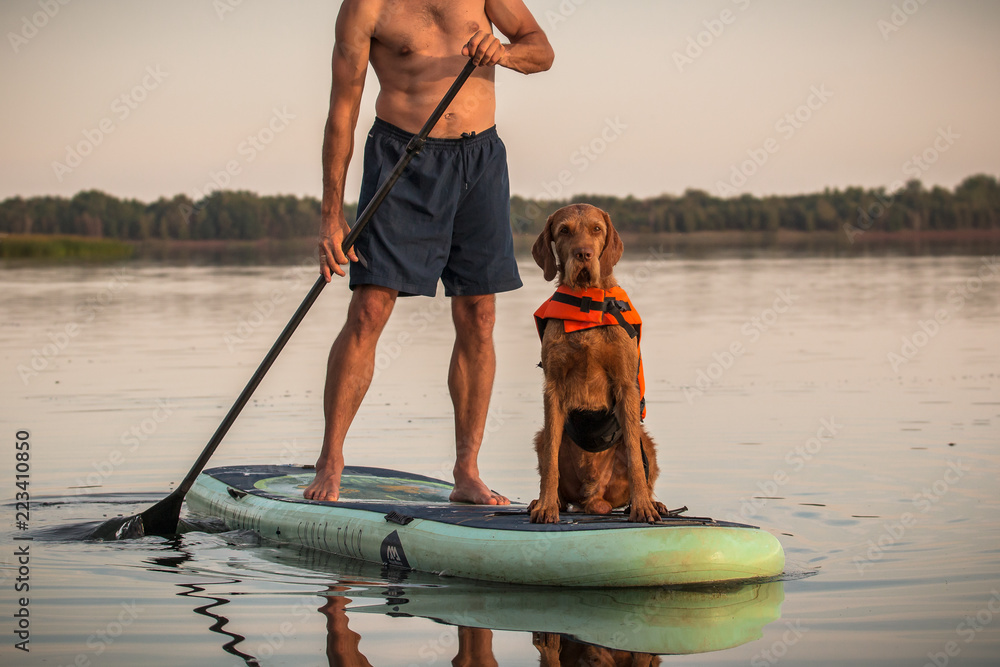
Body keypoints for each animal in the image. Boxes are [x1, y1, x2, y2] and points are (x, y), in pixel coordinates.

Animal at [532, 206, 664, 524]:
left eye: (596, 229)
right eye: (564, 231)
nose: (583, 254)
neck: (585, 302)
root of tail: (594, 495)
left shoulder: (626, 384)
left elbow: (634, 456)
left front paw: (642, 506)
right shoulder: (553, 387)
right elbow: (551, 459)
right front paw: (546, 506)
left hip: (648, 444)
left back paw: (654, 502)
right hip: (540, 438)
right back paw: (544, 501)